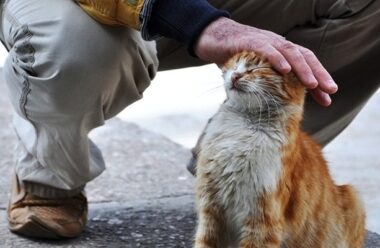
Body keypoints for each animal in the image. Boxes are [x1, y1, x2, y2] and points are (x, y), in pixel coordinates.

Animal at [193, 51, 366, 248]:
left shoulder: (262, 219)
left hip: (353, 197)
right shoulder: (211, 210)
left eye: (259, 68)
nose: (236, 75)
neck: (241, 128)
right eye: (235, 64)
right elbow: (204, 242)